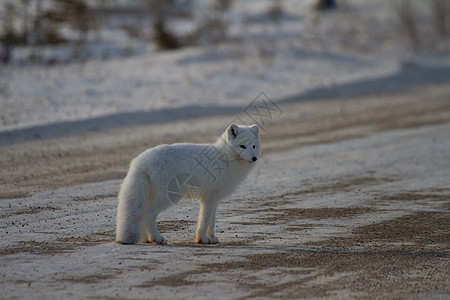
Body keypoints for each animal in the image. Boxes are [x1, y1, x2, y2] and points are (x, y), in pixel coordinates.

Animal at [116, 123, 260, 245]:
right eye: (242, 146)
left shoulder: (213, 198)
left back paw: (146, 238)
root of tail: (141, 161)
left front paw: (211, 237)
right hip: (170, 196)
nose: (254, 158)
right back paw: (156, 238)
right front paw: (202, 239)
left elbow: (211, 221)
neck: (224, 158)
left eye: (254, 146)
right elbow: (205, 220)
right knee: (148, 214)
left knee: (142, 215)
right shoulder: (209, 197)